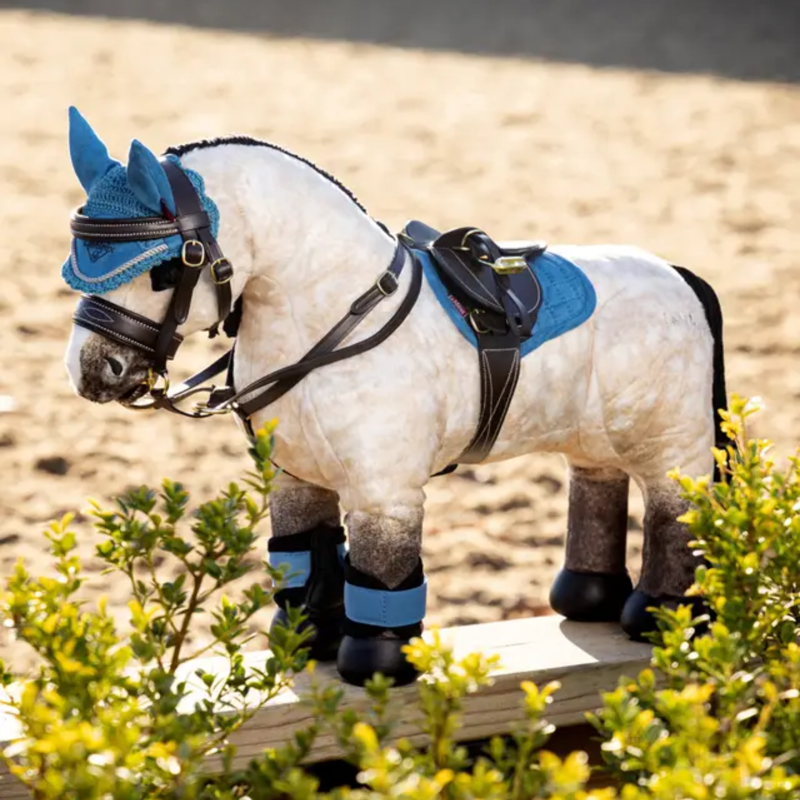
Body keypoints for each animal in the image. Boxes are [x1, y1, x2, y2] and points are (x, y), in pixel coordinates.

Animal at [62, 107, 726, 686]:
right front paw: (307, 641)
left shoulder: (385, 494)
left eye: (166, 269)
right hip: (596, 436)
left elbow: (381, 575)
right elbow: (307, 558)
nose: (91, 371)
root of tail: (676, 273)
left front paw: (375, 667)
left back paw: (663, 614)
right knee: (597, 483)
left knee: (674, 512)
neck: (333, 316)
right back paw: (588, 598)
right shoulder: (296, 479)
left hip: (674, 446)